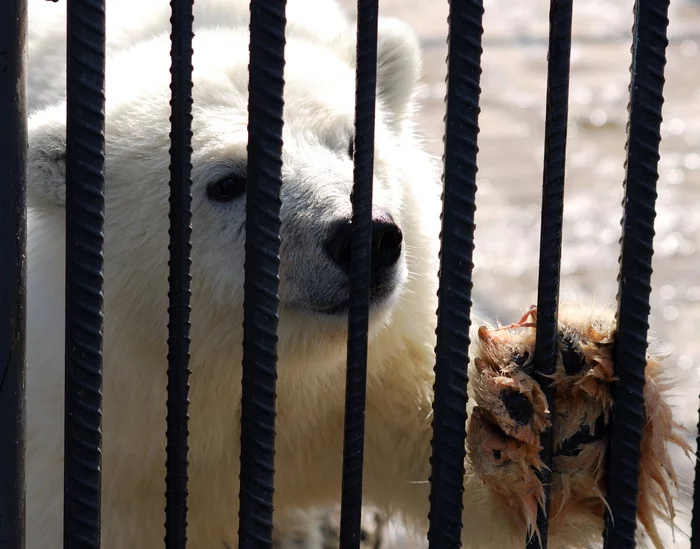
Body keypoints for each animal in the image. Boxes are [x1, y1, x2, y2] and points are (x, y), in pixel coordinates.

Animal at [26, 1, 684, 548]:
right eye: (227, 183)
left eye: (351, 144)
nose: (366, 236)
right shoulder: (102, 446)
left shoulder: (372, 380)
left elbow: (487, 500)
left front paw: (563, 397)